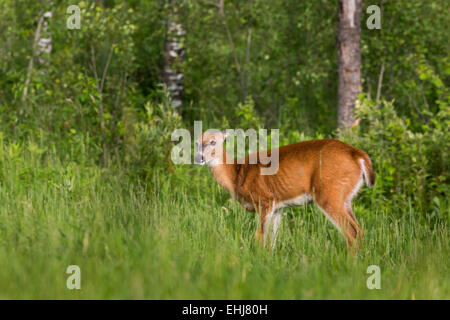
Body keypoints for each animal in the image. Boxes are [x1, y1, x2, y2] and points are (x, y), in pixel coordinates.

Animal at [195, 130, 374, 250]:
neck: (236, 174)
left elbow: (260, 236)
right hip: (346, 198)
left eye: (213, 142)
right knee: (360, 231)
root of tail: (358, 155)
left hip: (329, 193)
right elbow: (272, 240)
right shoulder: (278, 207)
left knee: (352, 232)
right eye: (196, 142)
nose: (199, 158)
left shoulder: (264, 199)